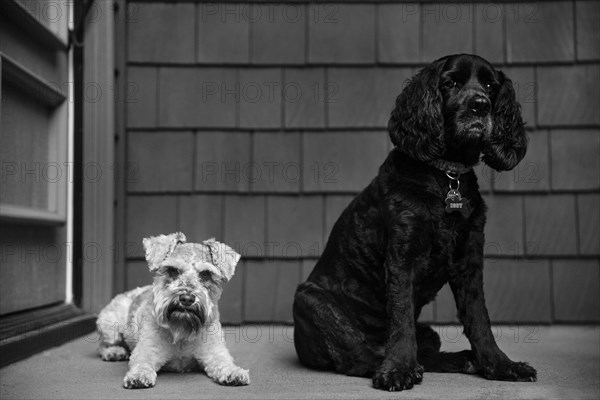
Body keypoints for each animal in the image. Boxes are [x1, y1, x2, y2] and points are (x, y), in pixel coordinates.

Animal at [292, 54, 536, 390]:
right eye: (450, 83)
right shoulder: (401, 256)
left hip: (429, 331)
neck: (446, 176)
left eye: (490, 85)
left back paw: (461, 359)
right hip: (309, 300)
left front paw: (500, 365)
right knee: (355, 358)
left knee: (424, 352)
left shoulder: (470, 259)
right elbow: (401, 317)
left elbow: (479, 319)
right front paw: (397, 369)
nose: (480, 105)